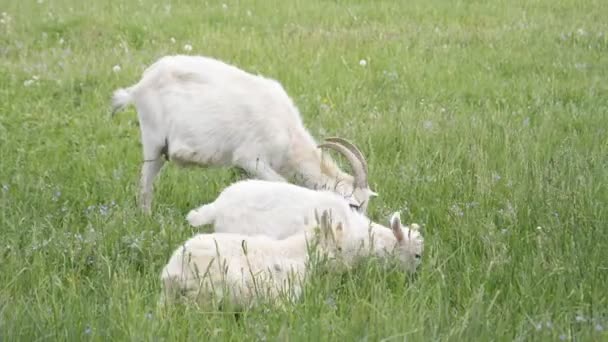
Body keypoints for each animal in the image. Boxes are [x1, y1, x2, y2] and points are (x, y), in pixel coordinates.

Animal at [110, 53, 376, 214]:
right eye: (353, 206)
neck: (289, 136)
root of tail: (138, 86)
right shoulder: (251, 158)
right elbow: (281, 183)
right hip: (153, 142)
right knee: (145, 184)